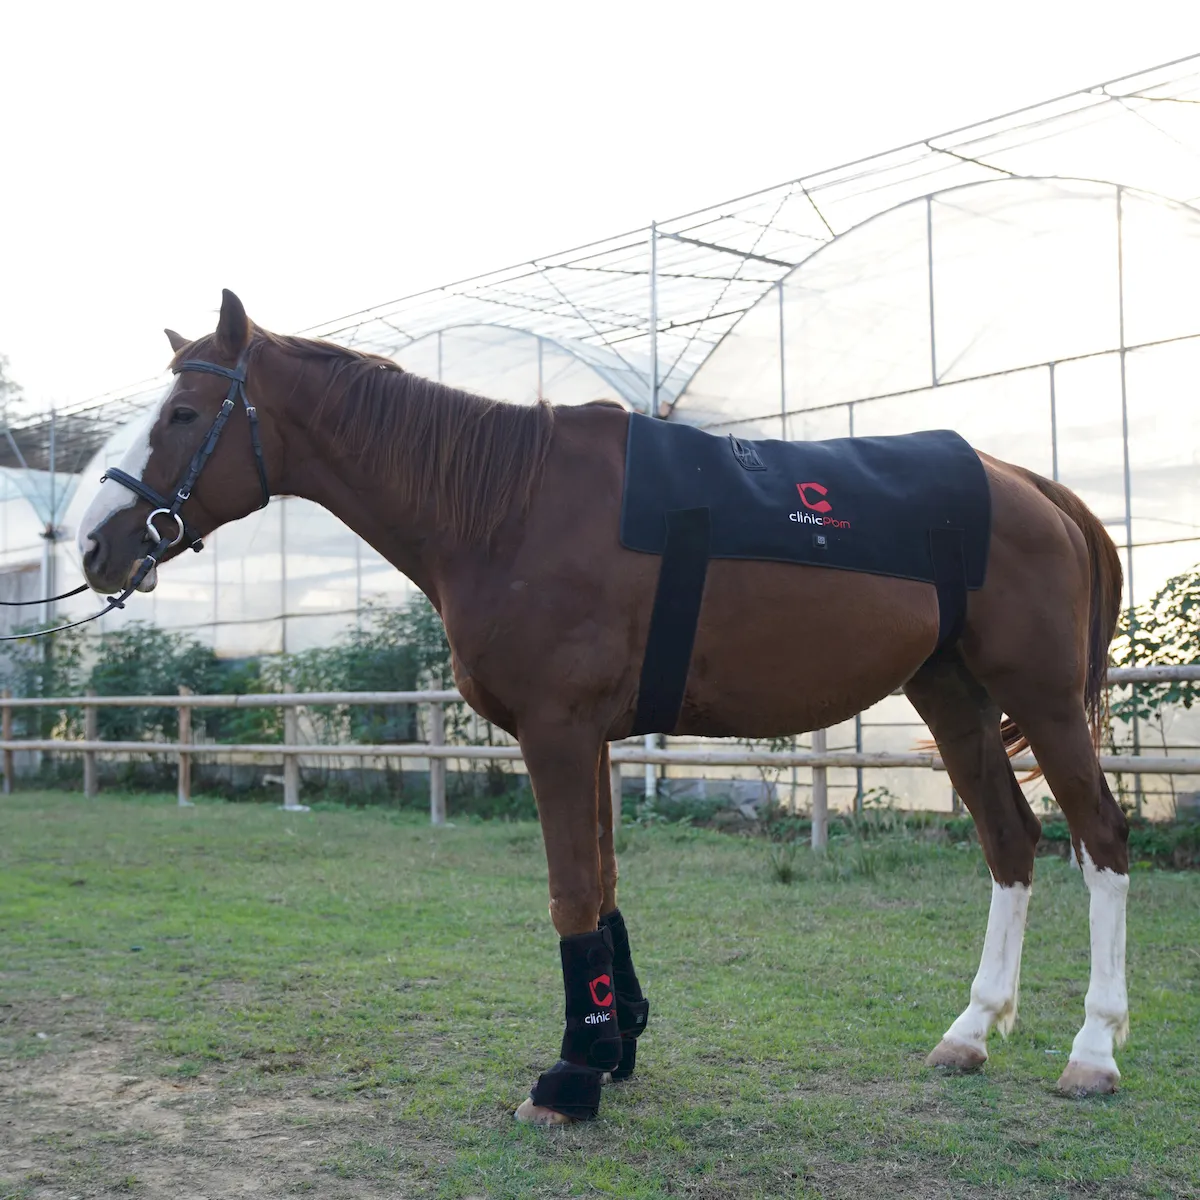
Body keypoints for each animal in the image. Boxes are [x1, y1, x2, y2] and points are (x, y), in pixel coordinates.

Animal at [77, 290, 1131, 1124]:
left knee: (1103, 841)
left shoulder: (558, 731)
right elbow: (607, 888)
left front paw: (571, 1075)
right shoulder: (591, 741)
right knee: (1011, 842)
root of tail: (1035, 488)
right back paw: (970, 1033)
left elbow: (571, 892)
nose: (95, 546)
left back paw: (1093, 1052)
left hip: (1043, 703)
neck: (507, 505)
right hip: (953, 697)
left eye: (183, 413)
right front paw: (615, 1042)